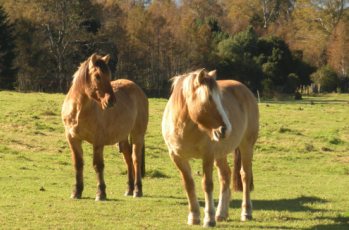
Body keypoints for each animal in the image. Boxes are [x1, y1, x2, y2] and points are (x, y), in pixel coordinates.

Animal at [61, 53, 147, 199]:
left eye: (109, 76)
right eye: (97, 76)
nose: (111, 101)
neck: (78, 111)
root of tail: (137, 89)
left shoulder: (98, 141)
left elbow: (98, 165)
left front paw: (101, 193)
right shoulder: (73, 139)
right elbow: (78, 164)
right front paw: (76, 191)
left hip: (138, 134)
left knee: (135, 158)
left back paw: (137, 190)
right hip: (123, 137)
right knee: (128, 158)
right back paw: (129, 189)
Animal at [161, 68, 258, 226]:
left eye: (220, 99)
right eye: (208, 99)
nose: (226, 129)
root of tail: (245, 90)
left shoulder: (208, 155)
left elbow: (207, 184)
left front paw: (209, 218)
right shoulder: (177, 157)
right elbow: (189, 184)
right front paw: (194, 216)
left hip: (246, 146)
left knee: (245, 175)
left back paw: (246, 212)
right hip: (221, 154)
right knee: (225, 176)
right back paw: (221, 213)